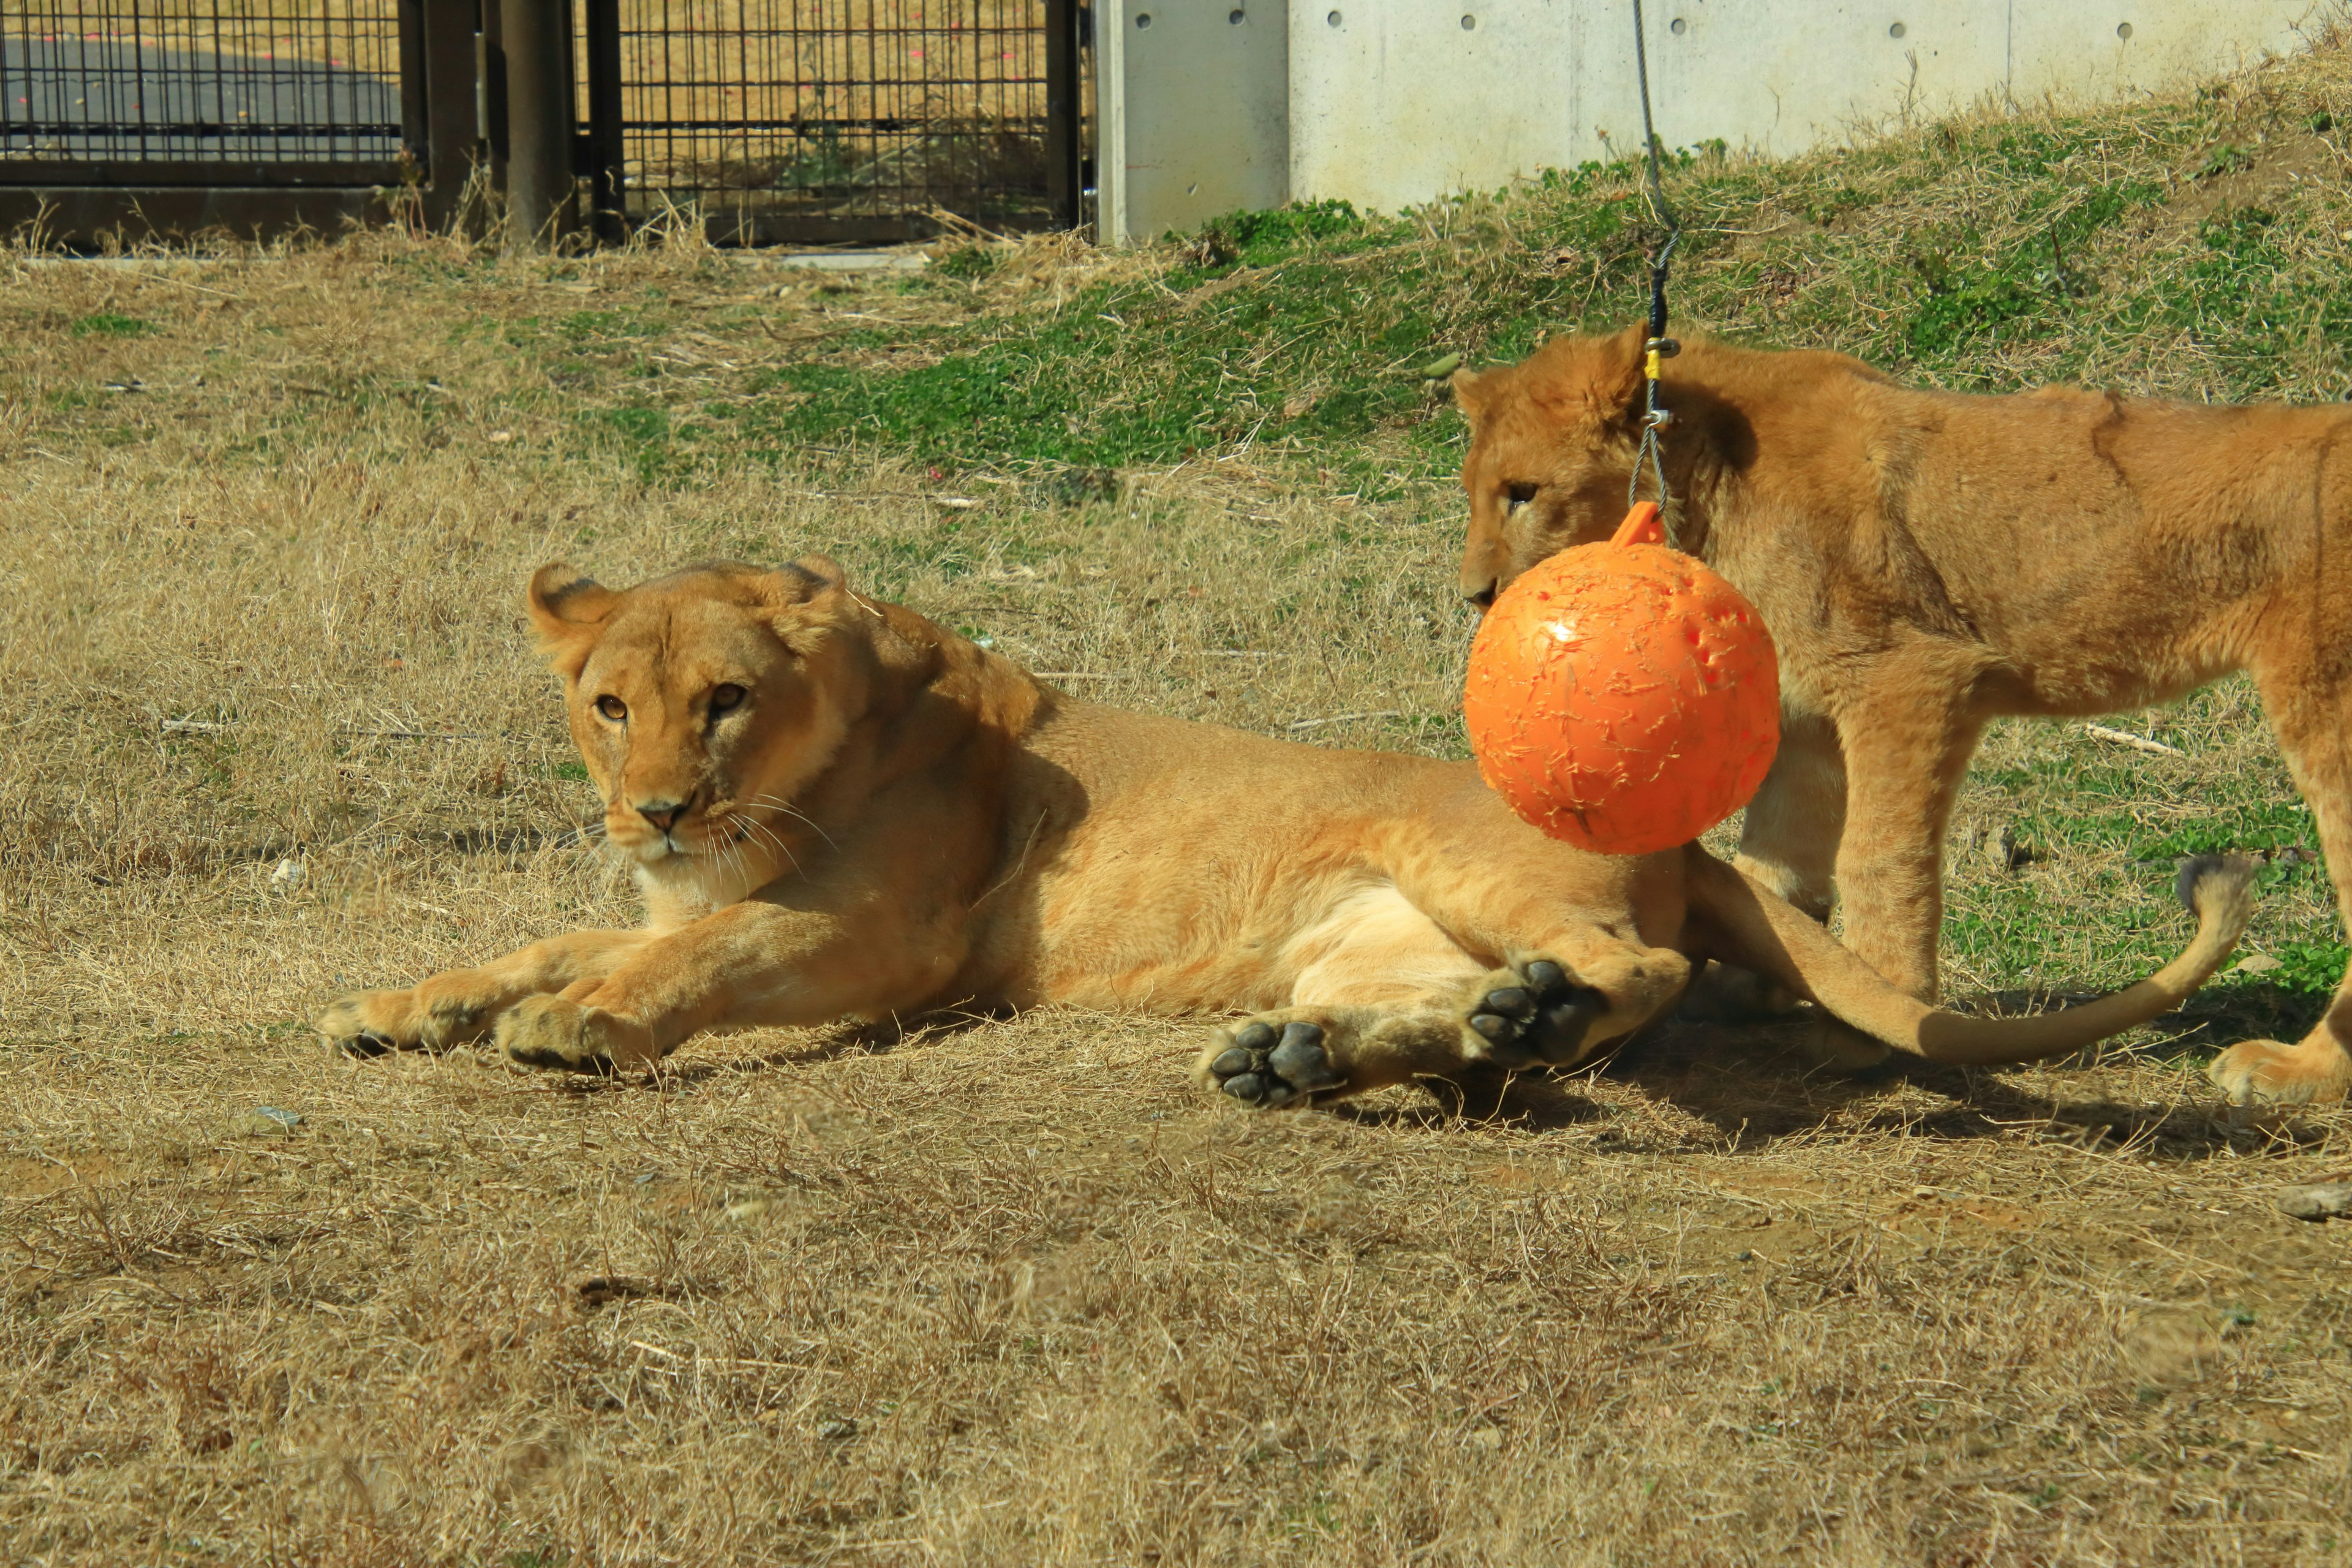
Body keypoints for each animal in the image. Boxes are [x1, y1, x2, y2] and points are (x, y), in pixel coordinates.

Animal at [317, 557, 2258, 1100]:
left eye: (722, 697)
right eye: (608, 702)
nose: (651, 802)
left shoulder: (889, 940)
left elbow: (696, 959)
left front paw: (578, 1028)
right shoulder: (680, 889)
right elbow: (556, 930)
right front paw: (405, 1002)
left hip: (1473, 858)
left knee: (1634, 973)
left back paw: (1509, 1021)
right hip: (1367, 938)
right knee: (1487, 1017)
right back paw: (1341, 1055)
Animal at [1449, 322, 2352, 1104]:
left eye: (1523, 493)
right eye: (1478, 495)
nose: (1476, 596)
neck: (1707, 485)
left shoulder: (1907, 676)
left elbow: (1876, 859)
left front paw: (1873, 1025)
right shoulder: (1806, 712)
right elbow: (1774, 863)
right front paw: (1758, 981)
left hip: (2327, 711)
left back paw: (2298, 1072)